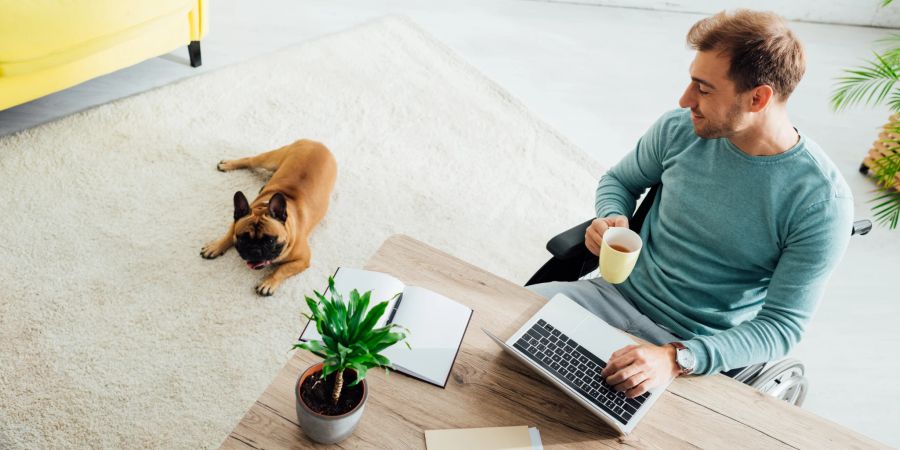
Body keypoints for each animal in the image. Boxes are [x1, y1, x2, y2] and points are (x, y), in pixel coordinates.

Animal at [200, 139, 338, 298]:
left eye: (270, 241)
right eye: (242, 238)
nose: (254, 250)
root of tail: (317, 143)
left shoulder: (302, 259)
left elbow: (282, 269)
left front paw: (268, 283)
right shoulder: (236, 222)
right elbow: (228, 236)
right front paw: (214, 247)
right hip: (269, 160)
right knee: (249, 160)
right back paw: (228, 164)